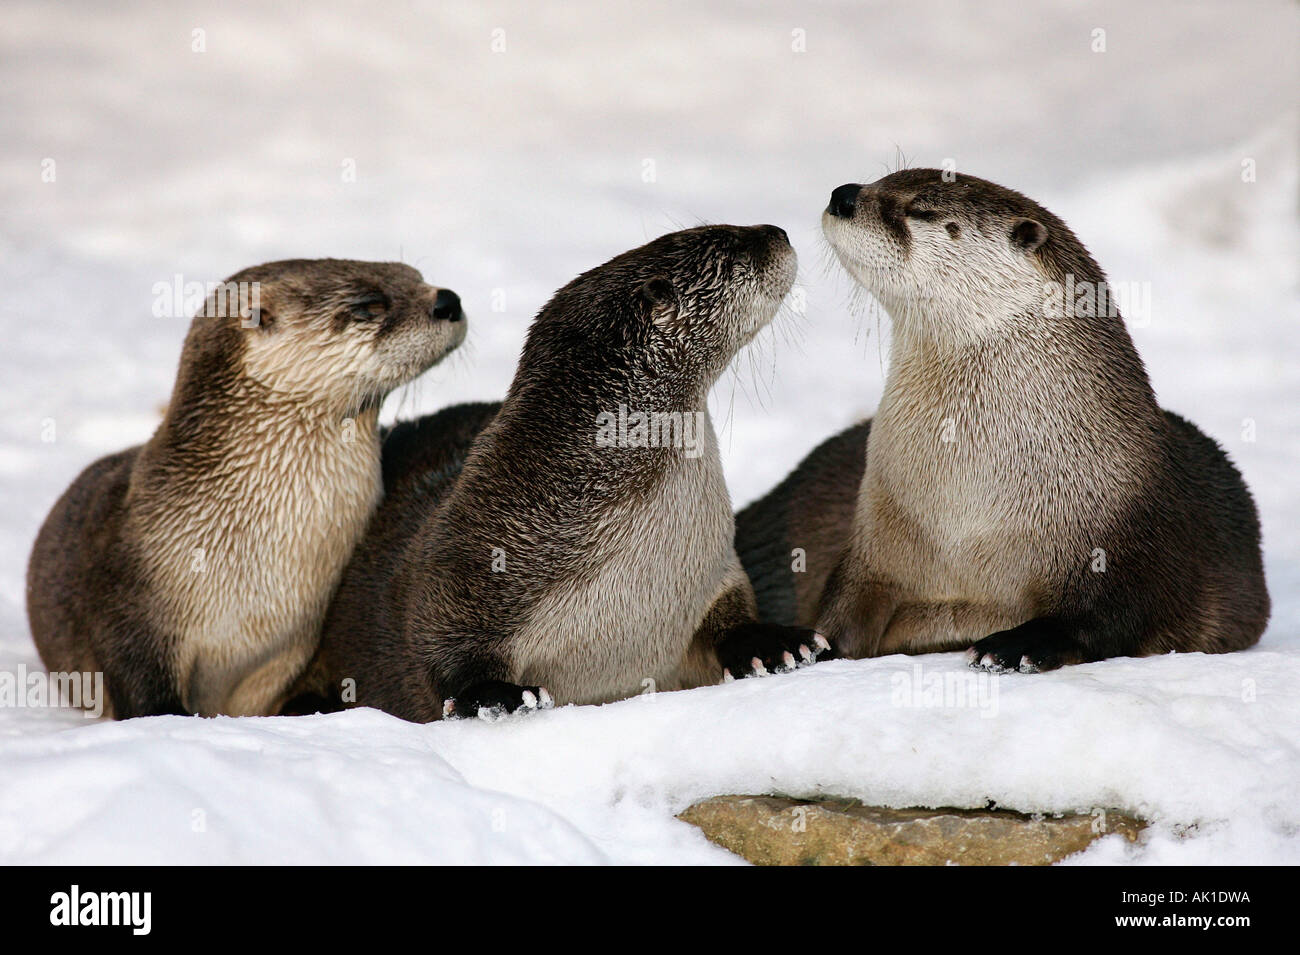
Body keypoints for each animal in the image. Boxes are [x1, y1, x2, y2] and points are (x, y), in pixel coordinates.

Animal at [26, 259, 467, 718]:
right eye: (368, 305)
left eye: (414, 274)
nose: (448, 300)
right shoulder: (129, 600)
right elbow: (142, 690)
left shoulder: (287, 654)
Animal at [315, 225, 831, 721]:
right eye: (732, 248)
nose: (779, 232)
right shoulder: (464, 563)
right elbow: (439, 645)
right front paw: (497, 696)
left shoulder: (714, 570)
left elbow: (734, 613)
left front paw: (775, 644)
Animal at [736, 170, 1268, 671]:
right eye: (884, 177)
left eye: (922, 209)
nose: (844, 194)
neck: (968, 511)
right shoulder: (873, 539)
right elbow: (844, 607)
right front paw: (808, 647)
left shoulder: (1125, 547)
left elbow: (1102, 617)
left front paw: (1014, 646)